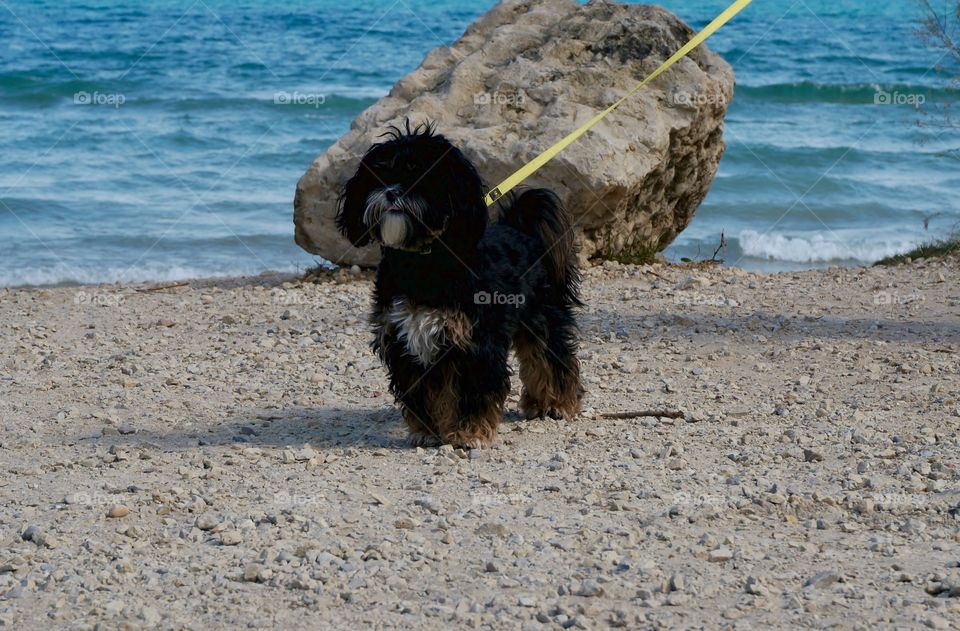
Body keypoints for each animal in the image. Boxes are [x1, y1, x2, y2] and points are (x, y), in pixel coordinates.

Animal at [334, 123, 580, 450]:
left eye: (420, 173)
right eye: (382, 173)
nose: (392, 192)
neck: (423, 261)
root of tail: (518, 227)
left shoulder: (474, 343)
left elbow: (471, 393)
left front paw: (469, 434)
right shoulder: (407, 342)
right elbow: (423, 393)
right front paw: (426, 431)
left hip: (540, 316)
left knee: (550, 356)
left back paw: (557, 402)